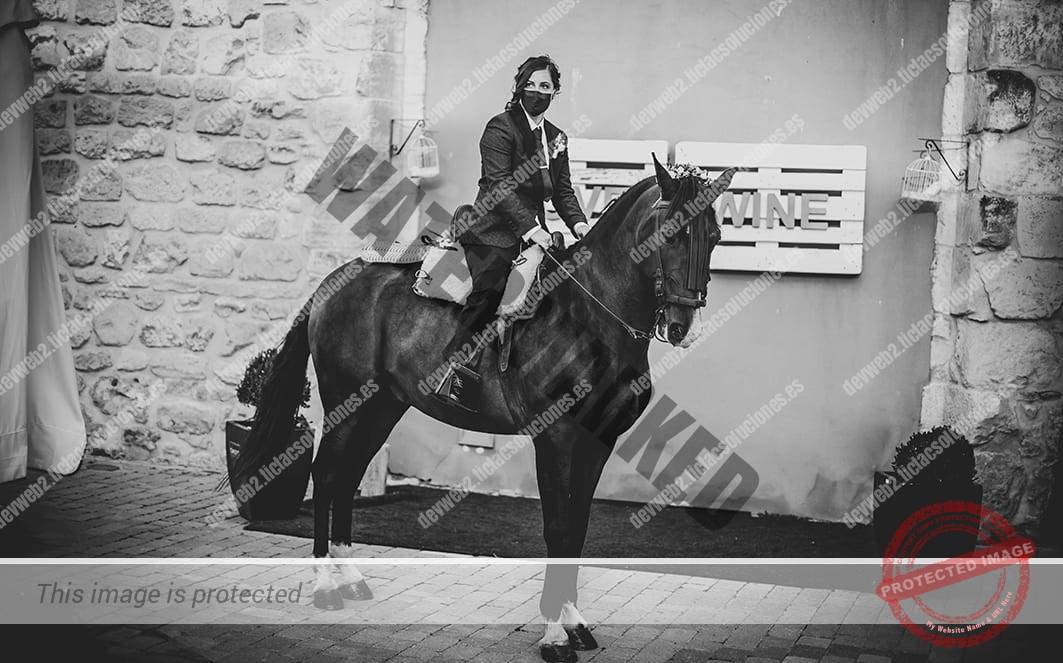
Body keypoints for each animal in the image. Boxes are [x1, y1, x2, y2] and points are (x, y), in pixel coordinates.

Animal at [231, 155, 731, 663]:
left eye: (714, 236)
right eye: (672, 232)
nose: (683, 324)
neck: (590, 318)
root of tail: (336, 280)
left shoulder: (598, 441)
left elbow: (578, 527)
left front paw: (574, 622)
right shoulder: (556, 438)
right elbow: (559, 529)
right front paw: (554, 634)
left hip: (382, 406)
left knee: (347, 477)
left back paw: (350, 577)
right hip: (346, 401)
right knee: (327, 473)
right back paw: (325, 586)